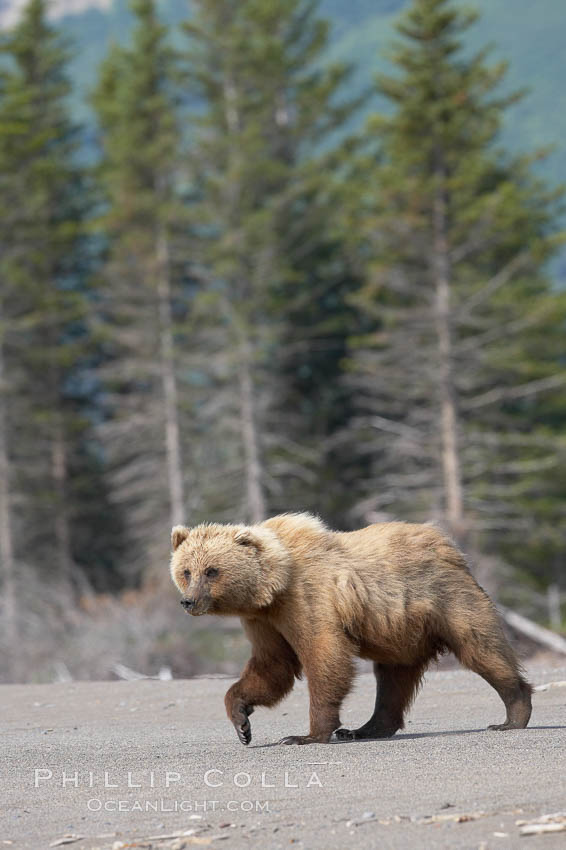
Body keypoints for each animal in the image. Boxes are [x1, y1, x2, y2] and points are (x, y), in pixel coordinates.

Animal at [171, 510, 536, 744]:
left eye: (212, 570)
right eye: (187, 570)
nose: (188, 601)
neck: (274, 586)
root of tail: (450, 547)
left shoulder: (308, 600)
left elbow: (324, 655)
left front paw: (305, 735)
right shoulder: (264, 621)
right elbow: (272, 665)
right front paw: (242, 721)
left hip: (448, 600)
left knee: (481, 649)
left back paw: (511, 716)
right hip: (401, 632)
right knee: (392, 680)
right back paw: (365, 728)